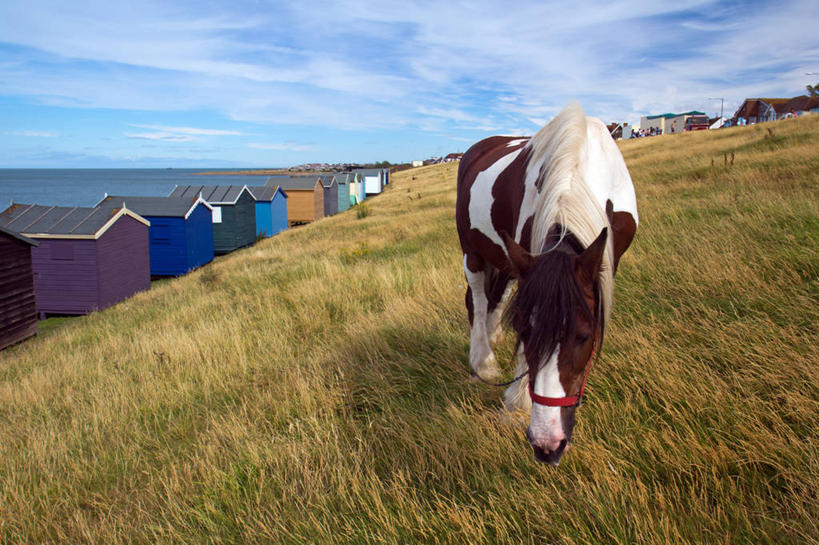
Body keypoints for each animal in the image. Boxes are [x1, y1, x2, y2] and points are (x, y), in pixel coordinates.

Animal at [454, 104, 640, 466]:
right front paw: (517, 401)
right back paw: (483, 360)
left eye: (583, 336)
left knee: (497, 297)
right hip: (474, 253)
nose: (547, 444)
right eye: (525, 333)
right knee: (479, 301)